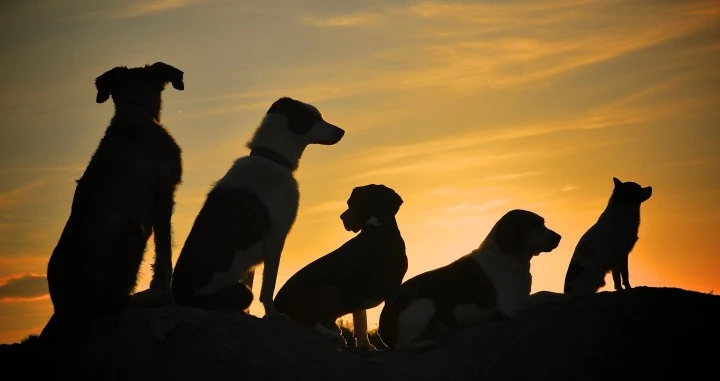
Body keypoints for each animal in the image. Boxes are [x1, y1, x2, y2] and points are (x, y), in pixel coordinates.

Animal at [44, 61, 184, 332]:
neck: (135, 110)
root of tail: (65, 310)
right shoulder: (163, 193)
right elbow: (164, 253)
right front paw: (165, 291)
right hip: (126, 225)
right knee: (112, 305)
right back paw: (150, 297)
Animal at [172, 95, 346, 318]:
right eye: (314, 118)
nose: (341, 131)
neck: (272, 157)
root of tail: (180, 297)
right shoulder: (276, 238)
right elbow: (268, 287)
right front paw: (274, 314)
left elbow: (253, 280)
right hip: (234, 293)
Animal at [274, 183, 410, 348]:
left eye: (350, 204)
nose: (341, 217)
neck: (378, 225)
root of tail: (276, 305)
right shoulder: (391, 289)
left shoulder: (359, 294)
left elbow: (361, 322)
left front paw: (366, 346)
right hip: (332, 290)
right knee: (309, 322)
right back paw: (333, 335)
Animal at [380, 209, 564, 348]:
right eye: (533, 225)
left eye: (543, 222)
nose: (558, 237)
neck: (506, 256)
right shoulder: (512, 304)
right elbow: (545, 293)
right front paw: (562, 296)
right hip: (426, 303)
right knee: (402, 344)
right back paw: (423, 344)